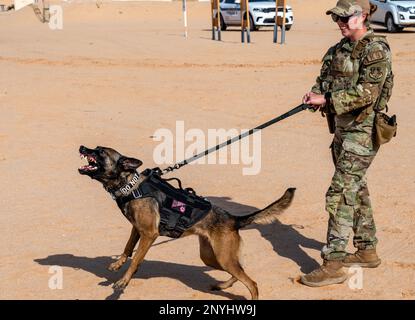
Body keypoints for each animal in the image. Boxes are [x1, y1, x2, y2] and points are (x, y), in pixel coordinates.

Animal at [78, 146, 296, 300]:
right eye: (95, 148)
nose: (81, 147)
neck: (130, 187)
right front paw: (117, 264)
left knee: (252, 283)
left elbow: (136, 259)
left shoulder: (149, 234)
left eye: (100, 151)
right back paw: (223, 285)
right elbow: (128, 248)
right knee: (240, 270)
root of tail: (233, 219)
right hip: (212, 257)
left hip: (223, 257)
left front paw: (124, 281)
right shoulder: (137, 229)